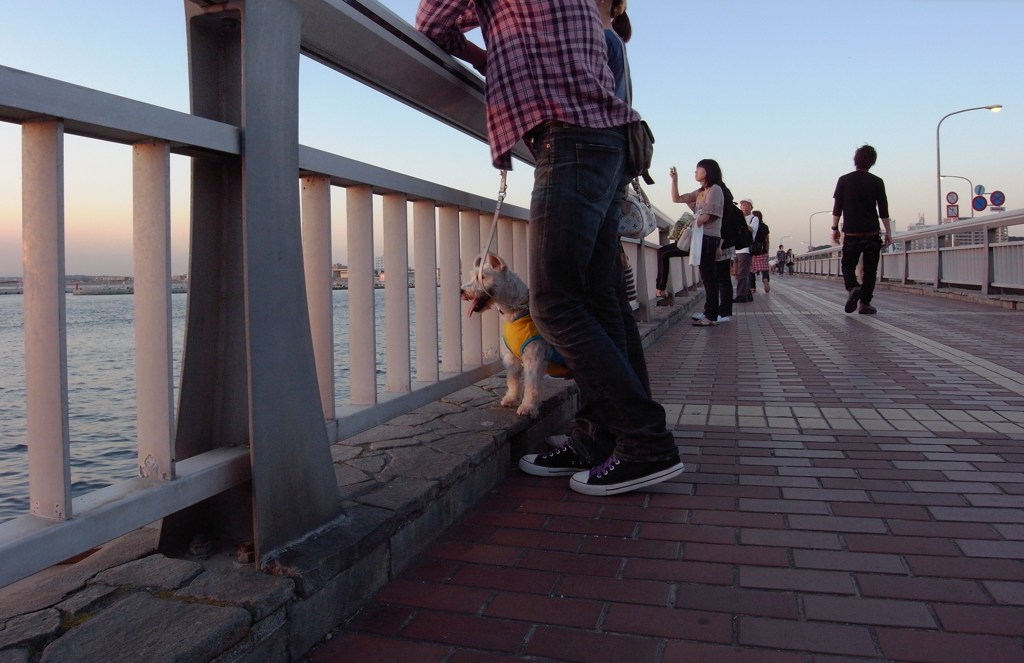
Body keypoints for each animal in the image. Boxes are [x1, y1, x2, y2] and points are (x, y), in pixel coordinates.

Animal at [462, 253, 573, 413]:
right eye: (472, 277)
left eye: (482, 277)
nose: (461, 291)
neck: (515, 314)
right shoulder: (511, 358)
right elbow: (513, 380)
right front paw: (511, 399)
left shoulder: (533, 356)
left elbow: (531, 385)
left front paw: (527, 407)